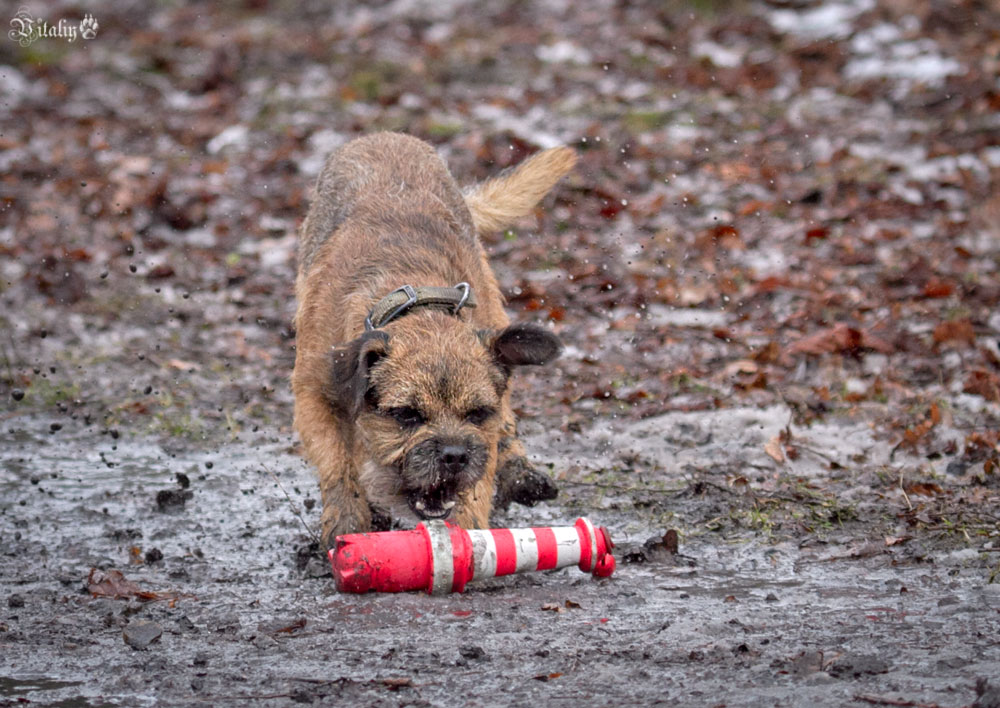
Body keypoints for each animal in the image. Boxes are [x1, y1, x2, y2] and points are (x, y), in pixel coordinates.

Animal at [292, 134, 576, 552]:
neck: (415, 306)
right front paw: (347, 521)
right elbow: (337, 463)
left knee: (507, 423)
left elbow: (482, 469)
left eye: (477, 413)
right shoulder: (315, 392)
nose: (454, 456)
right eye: (407, 415)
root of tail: (384, 135)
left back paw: (521, 474)